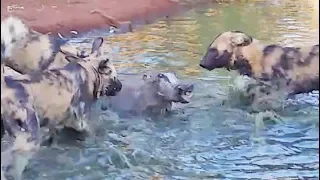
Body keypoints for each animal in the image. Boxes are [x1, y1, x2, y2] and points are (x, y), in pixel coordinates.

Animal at [0, 37, 122, 180]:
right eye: (114, 77)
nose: (121, 86)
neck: (89, 69)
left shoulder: (56, 124)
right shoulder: (81, 123)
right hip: (29, 140)